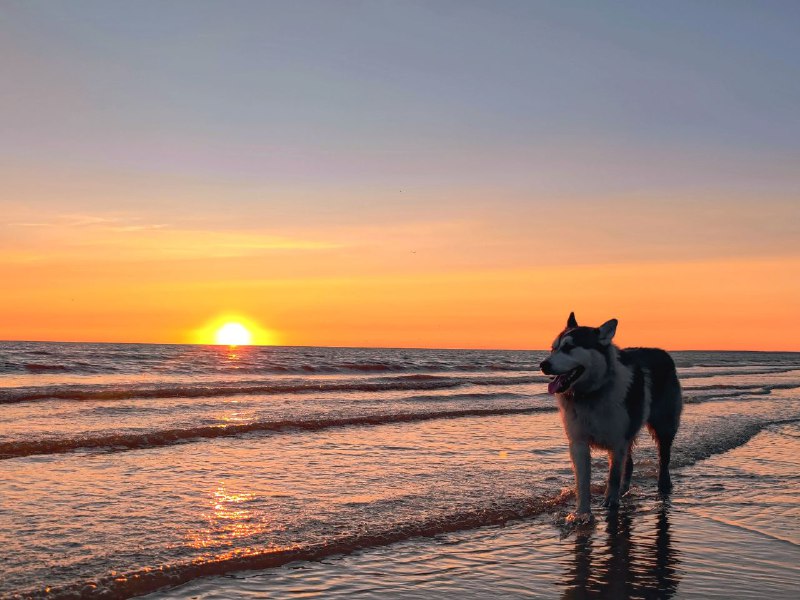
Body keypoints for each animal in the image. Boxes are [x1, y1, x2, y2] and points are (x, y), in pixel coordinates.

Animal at [536, 312, 680, 524]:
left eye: (569, 347)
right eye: (553, 348)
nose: (543, 364)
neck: (592, 393)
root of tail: (663, 353)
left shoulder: (617, 441)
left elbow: (613, 475)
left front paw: (610, 502)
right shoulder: (578, 443)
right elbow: (583, 482)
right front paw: (582, 513)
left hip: (664, 425)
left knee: (664, 458)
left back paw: (663, 486)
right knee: (629, 464)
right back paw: (624, 491)